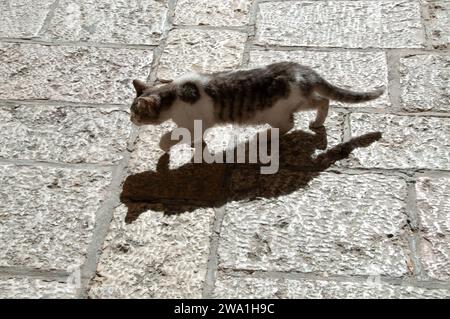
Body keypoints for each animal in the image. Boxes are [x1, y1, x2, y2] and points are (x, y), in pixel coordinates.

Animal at [129, 62, 384, 152]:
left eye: (136, 113)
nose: (131, 120)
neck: (174, 91)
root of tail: (303, 70)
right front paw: (195, 145)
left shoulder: (193, 124)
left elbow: (169, 137)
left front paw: (165, 147)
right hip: (297, 101)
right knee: (319, 102)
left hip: (279, 109)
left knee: (302, 115)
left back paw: (266, 136)